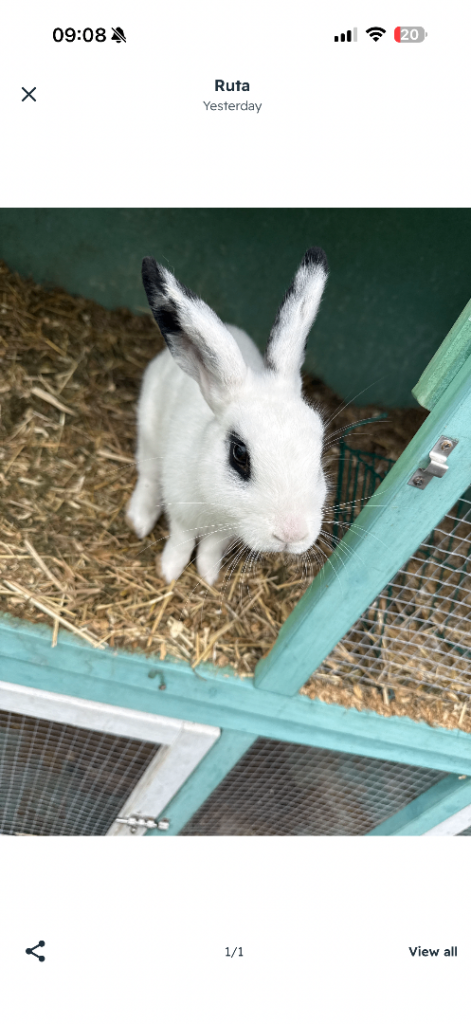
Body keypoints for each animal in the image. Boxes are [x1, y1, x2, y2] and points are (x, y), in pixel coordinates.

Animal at [126, 247, 329, 586]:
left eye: (320, 454)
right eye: (239, 454)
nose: (291, 534)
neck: (217, 510)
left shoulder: (225, 533)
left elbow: (209, 550)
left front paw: (209, 577)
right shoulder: (181, 514)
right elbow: (180, 543)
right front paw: (168, 573)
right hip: (149, 432)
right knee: (148, 476)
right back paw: (138, 520)